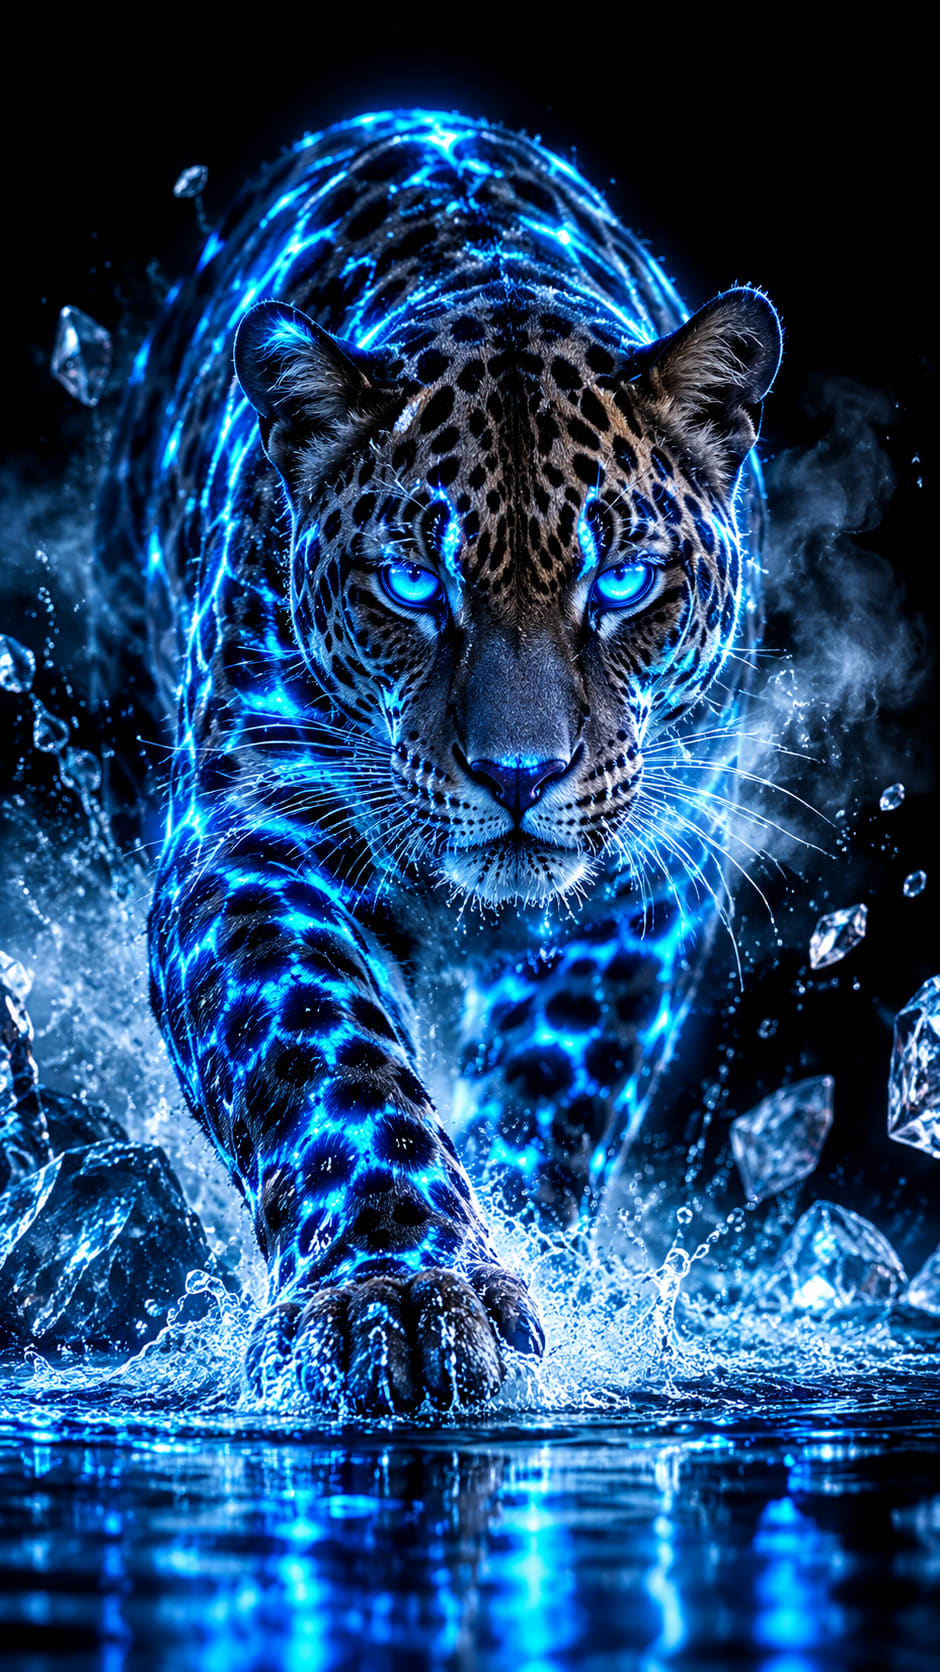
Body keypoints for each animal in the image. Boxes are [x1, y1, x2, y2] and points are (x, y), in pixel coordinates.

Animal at [96, 109, 781, 1413]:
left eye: (624, 581)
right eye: (413, 583)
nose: (518, 774)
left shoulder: (649, 871)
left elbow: (564, 1085)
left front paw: (538, 1251)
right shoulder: (248, 841)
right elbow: (330, 1062)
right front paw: (396, 1291)